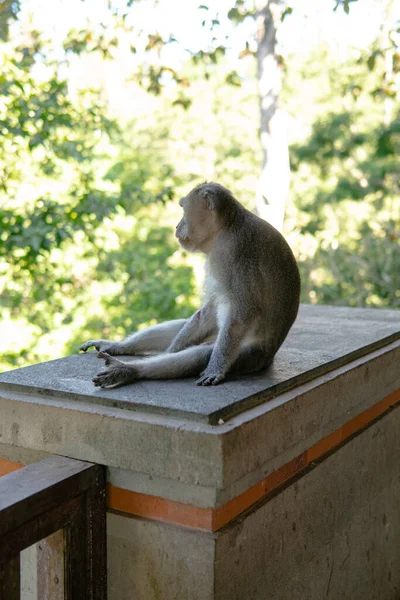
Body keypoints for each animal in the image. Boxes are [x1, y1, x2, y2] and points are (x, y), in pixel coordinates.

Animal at [80, 183, 300, 386]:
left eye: (184, 210)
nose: (177, 226)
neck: (226, 228)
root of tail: (269, 358)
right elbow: (208, 310)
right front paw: (170, 349)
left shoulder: (235, 254)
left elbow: (241, 315)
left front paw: (215, 368)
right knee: (184, 325)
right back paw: (119, 347)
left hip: (250, 355)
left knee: (200, 355)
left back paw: (129, 370)